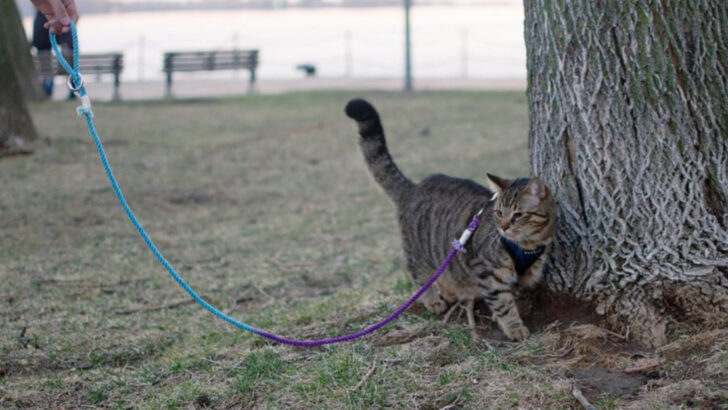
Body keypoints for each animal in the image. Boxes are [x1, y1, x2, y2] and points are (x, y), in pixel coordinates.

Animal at [346, 98, 556, 340]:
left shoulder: (523, 274)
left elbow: (514, 294)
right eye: (499, 213)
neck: (529, 244)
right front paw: (514, 327)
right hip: (418, 254)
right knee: (419, 277)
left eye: (518, 215)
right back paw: (433, 300)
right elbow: (503, 303)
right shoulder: (486, 271)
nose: (503, 227)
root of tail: (414, 187)